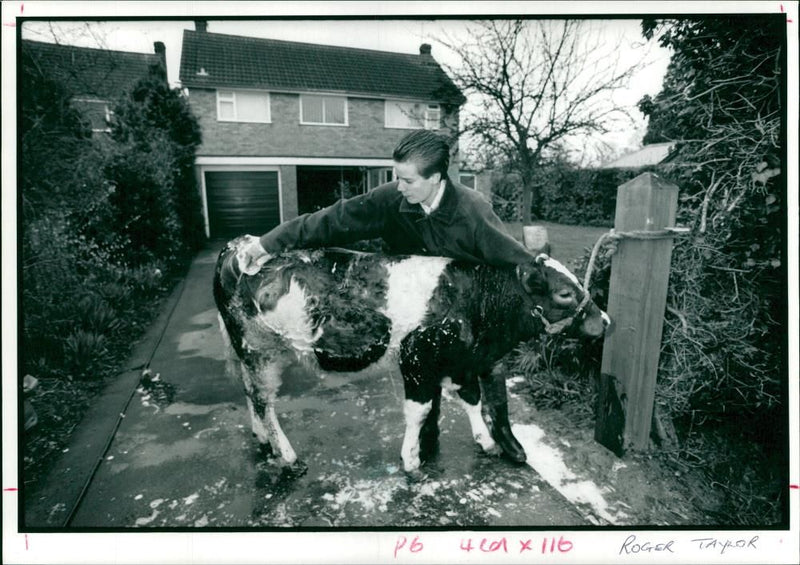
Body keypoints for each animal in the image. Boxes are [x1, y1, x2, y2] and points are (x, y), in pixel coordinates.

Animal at [216, 234, 608, 472]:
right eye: (564, 294)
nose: (605, 320)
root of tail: (237, 245)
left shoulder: (461, 359)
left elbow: (472, 398)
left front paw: (485, 440)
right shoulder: (417, 358)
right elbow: (418, 411)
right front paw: (411, 458)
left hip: (251, 354)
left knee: (252, 396)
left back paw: (263, 437)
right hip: (259, 349)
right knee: (263, 402)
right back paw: (286, 454)